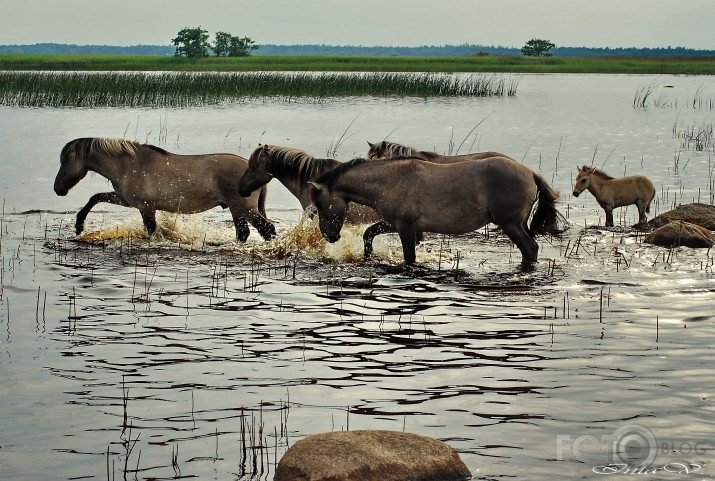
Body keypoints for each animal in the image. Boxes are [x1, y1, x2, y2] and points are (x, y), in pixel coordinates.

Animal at [52, 136, 276, 240]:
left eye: (64, 161)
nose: (57, 189)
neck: (129, 165)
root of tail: (252, 168)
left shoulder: (146, 207)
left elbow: (151, 230)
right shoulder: (125, 200)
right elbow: (95, 197)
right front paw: (79, 225)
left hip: (243, 207)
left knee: (266, 229)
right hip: (237, 209)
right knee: (245, 232)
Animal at [308, 156, 564, 268]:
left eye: (319, 204)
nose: (329, 236)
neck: (390, 181)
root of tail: (531, 173)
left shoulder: (405, 227)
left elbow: (409, 257)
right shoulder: (394, 223)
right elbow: (368, 234)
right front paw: (367, 258)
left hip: (510, 224)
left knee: (529, 248)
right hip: (517, 224)